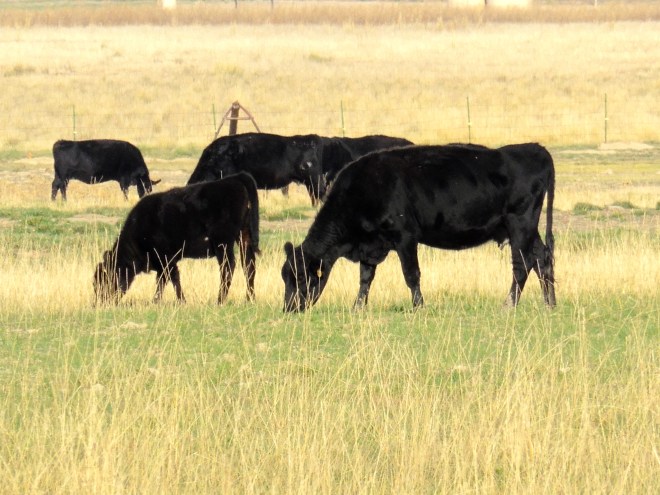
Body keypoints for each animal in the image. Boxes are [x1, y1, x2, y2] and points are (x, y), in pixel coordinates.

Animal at [94, 172, 260, 305]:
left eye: (104, 278)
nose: (99, 302)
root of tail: (236, 178)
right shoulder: (166, 261)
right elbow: (168, 280)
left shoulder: (167, 258)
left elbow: (171, 279)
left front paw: (173, 301)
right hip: (244, 238)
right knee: (248, 264)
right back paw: (250, 298)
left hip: (223, 242)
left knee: (228, 266)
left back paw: (219, 300)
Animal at [281, 143, 556, 312]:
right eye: (286, 276)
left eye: (301, 276)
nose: (289, 308)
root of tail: (534, 148)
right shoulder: (371, 244)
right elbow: (365, 277)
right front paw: (357, 307)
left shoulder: (405, 237)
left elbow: (411, 274)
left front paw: (418, 306)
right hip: (525, 229)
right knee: (542, 257)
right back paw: (550, 303)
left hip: (520, 223)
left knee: (522, 264)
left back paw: (509, 305)